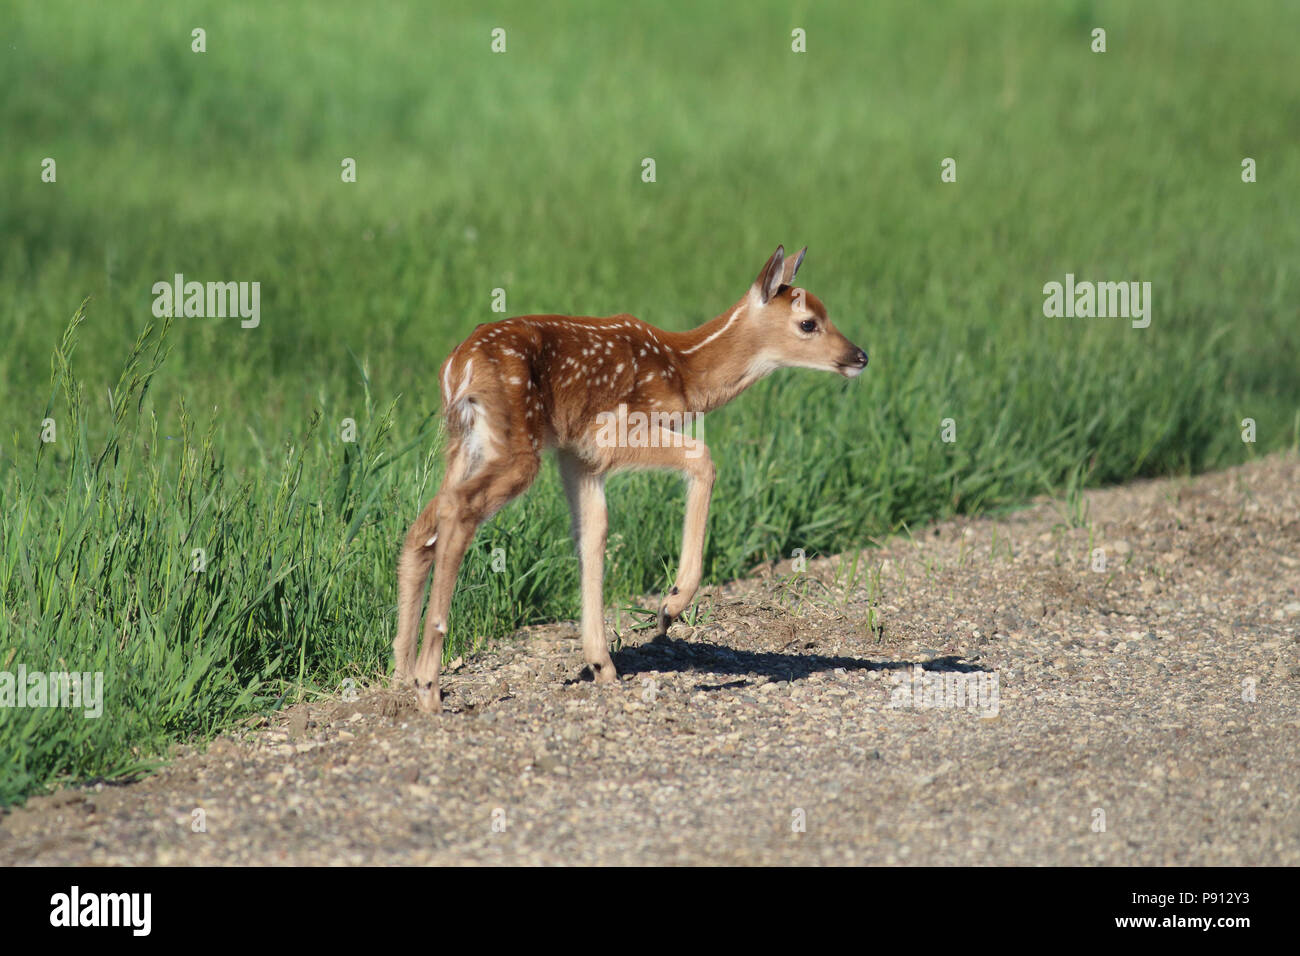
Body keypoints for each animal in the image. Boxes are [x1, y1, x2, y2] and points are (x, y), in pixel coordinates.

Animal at [394, 245, 868, 712]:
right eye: (808, 323)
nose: (860, 356)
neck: (685, 372)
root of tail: (458, 366)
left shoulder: (577, 455)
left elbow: (593, 533)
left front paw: (601, 665)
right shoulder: (610, 432)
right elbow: (703, 458)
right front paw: (670, 606)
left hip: (465, 444)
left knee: (424, 523)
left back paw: (402, 672)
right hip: (515, 445)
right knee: (458, 511)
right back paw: (429, 686)